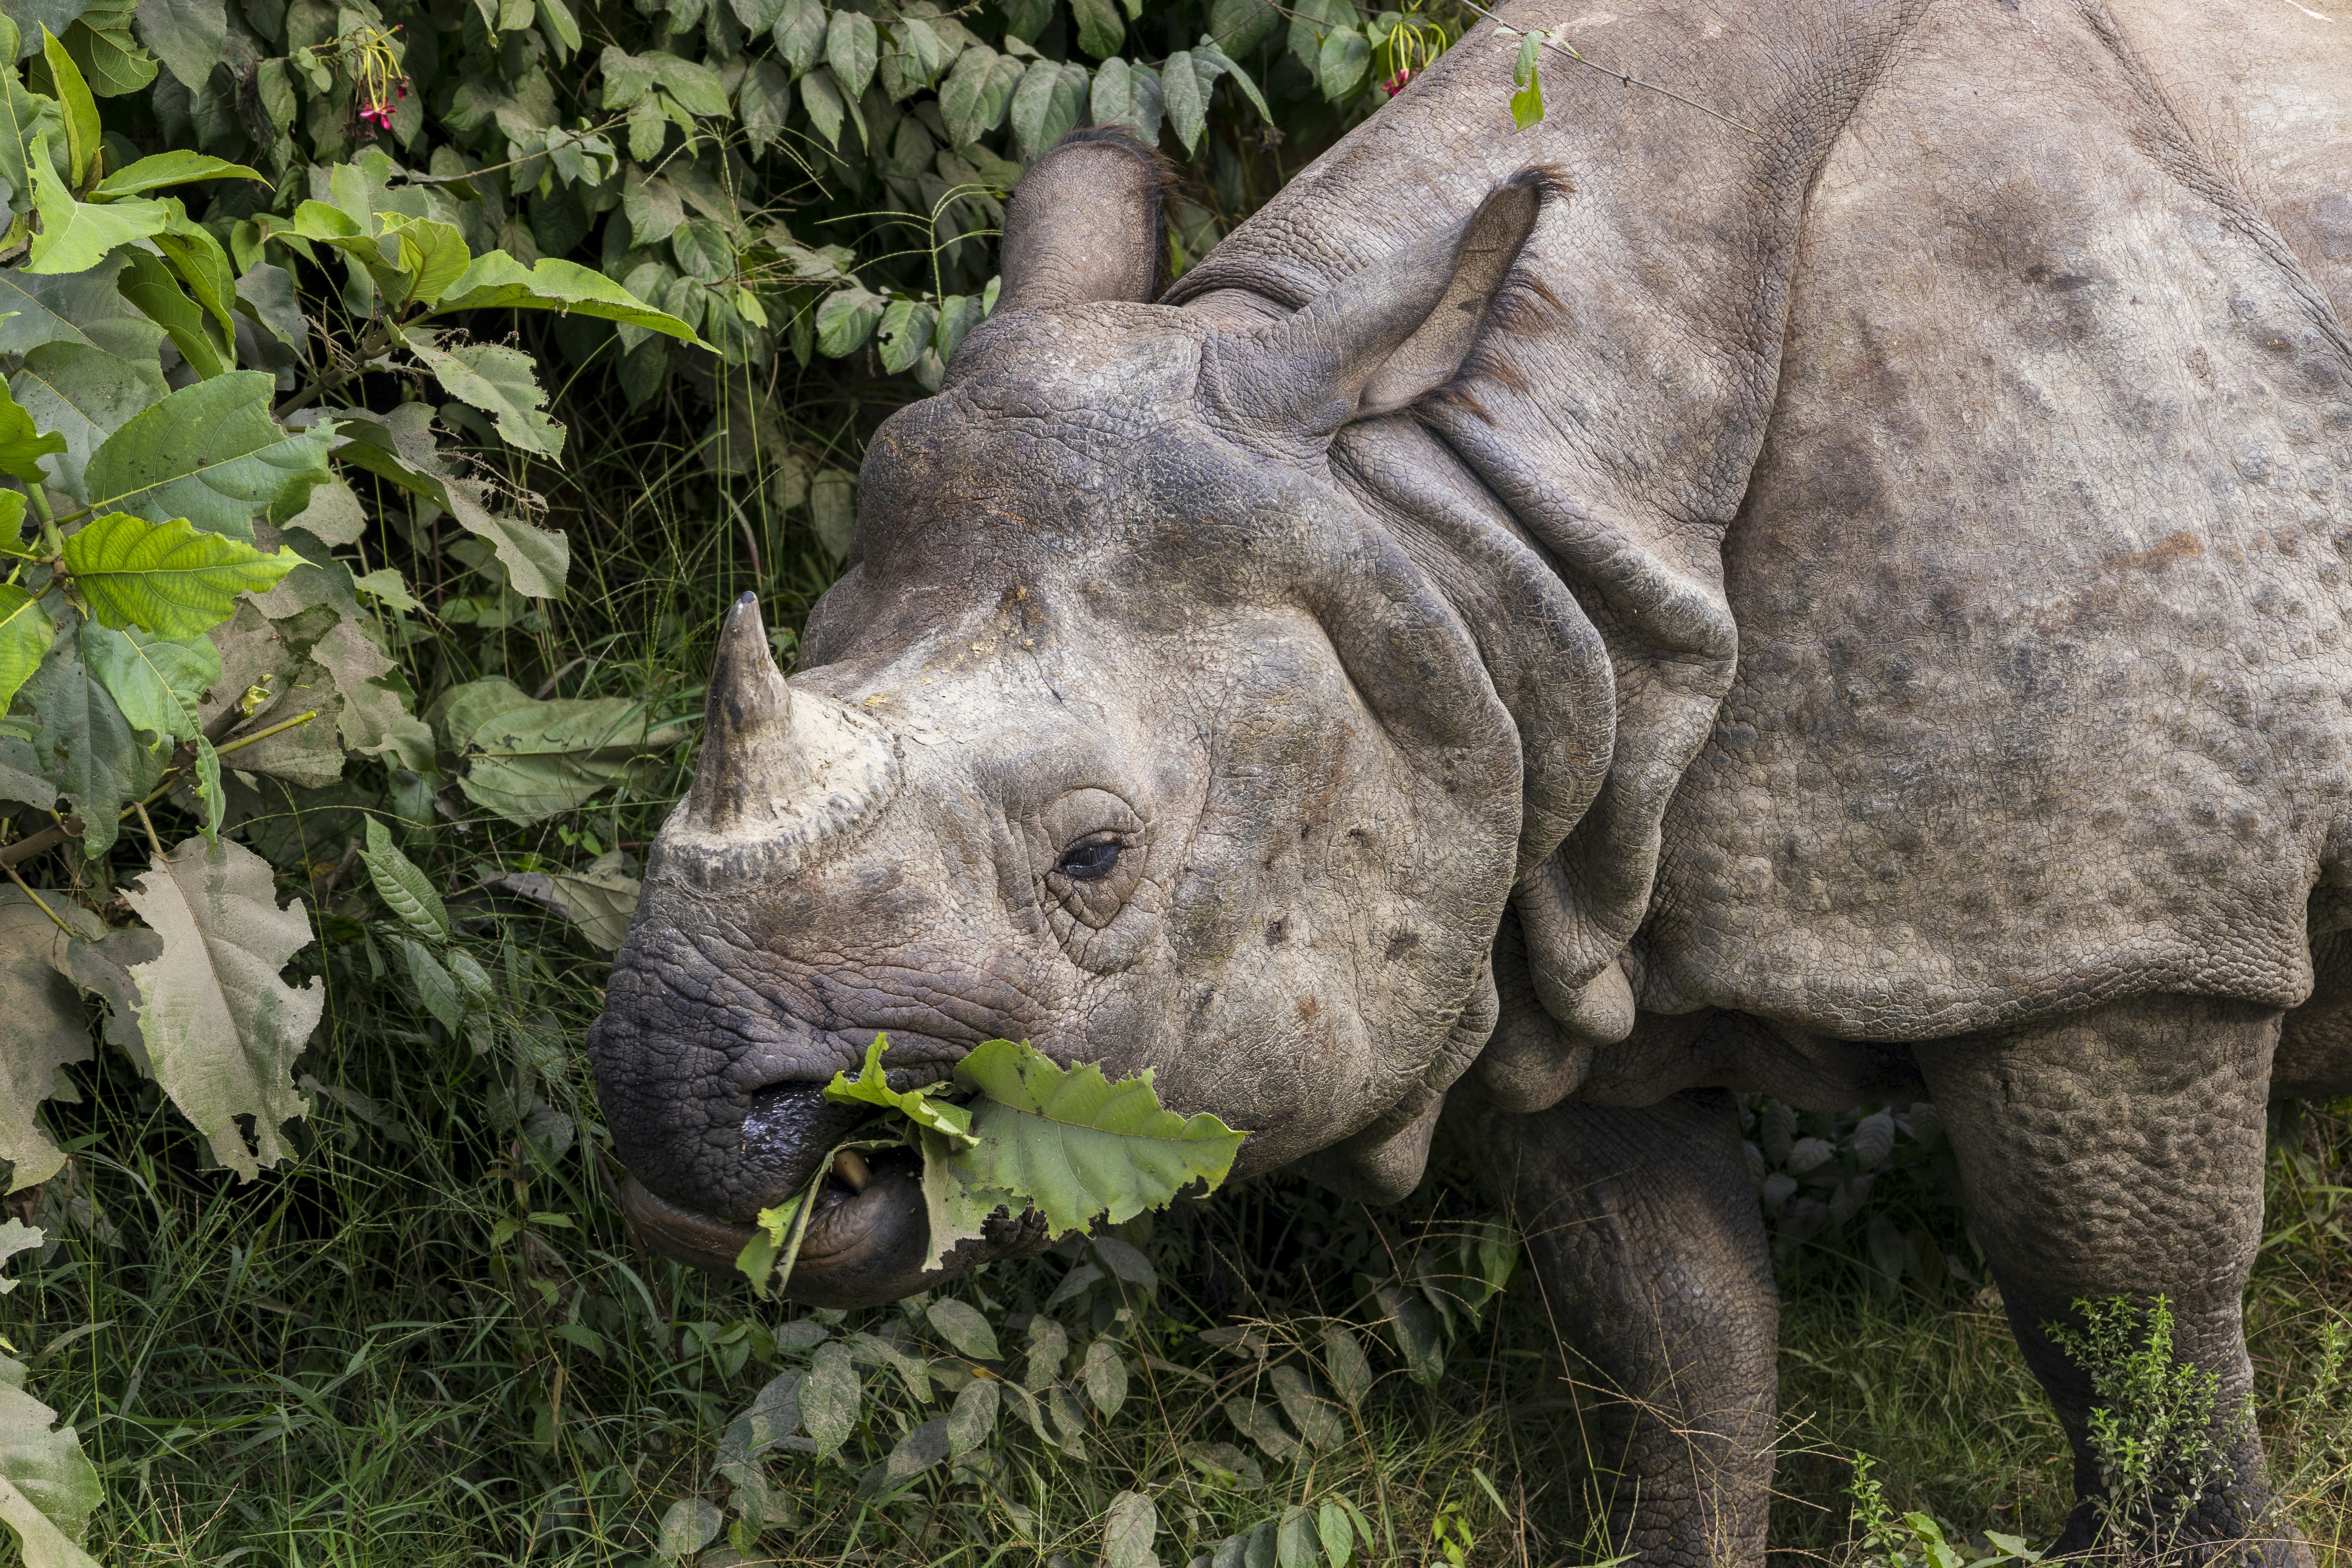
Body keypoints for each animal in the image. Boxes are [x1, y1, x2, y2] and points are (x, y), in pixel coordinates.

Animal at [588, 0, 2352, 1558]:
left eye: (1095, 857)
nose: (674, 1110)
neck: (1471, 506)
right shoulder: (1537, 854)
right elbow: (1669, 1341)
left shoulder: (2128, 933)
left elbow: (2116, 1310)